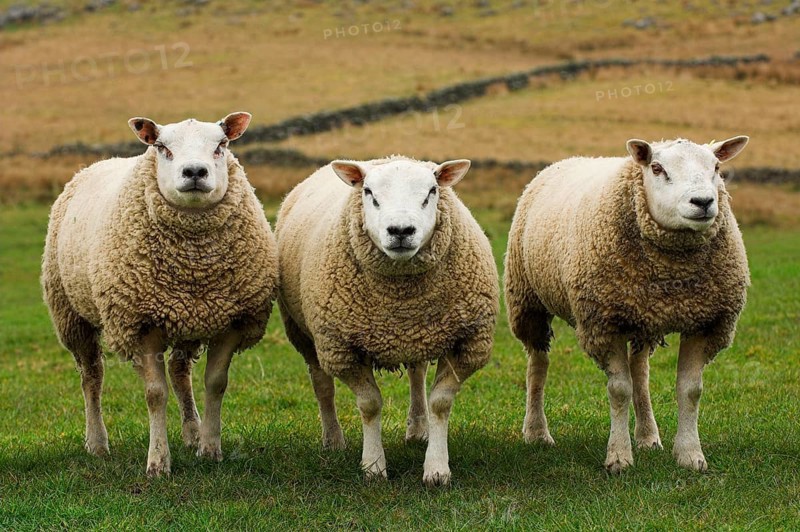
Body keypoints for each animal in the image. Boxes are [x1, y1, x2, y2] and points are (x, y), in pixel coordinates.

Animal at [41, 113, 279, 476]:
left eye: (221, 145)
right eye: (162, 147)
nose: (194, 172)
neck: (194, 264)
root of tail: (97, 163)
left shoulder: (232, 321)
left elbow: (215, 383)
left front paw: (210, 448)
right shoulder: (140, 323)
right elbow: (155, 394)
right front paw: (157, 462)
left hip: (187, 320)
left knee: (180, 374)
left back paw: (192, 432)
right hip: (70, 314)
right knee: (92, 378)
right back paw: (97, 443)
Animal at [275, 156, 499, 486]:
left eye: (432, 191)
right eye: (369, 192)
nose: (401, 230)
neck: (401, 301)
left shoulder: (466, 342)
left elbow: (440, 403)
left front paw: (436, 468)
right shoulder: (343, 349)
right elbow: (370, 405)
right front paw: (373, 466)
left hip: (419, 336)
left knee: (417, 374)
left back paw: (418, 429)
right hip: (304, 334)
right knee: (322, 386)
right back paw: (333, 440)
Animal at [504, 136, 750, 473]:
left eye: (716, 167)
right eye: (657, 168)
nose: (702, 202)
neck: (672, 276)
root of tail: (569, 160)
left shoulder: (706, 322)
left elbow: (690, 390)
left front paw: (690, 455)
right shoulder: (604, 323)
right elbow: (619, 390)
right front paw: (619, 457)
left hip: (642, 315)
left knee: (640, 372)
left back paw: (648, 435)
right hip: (528, 301)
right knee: (538, 364)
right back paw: (537, 432)